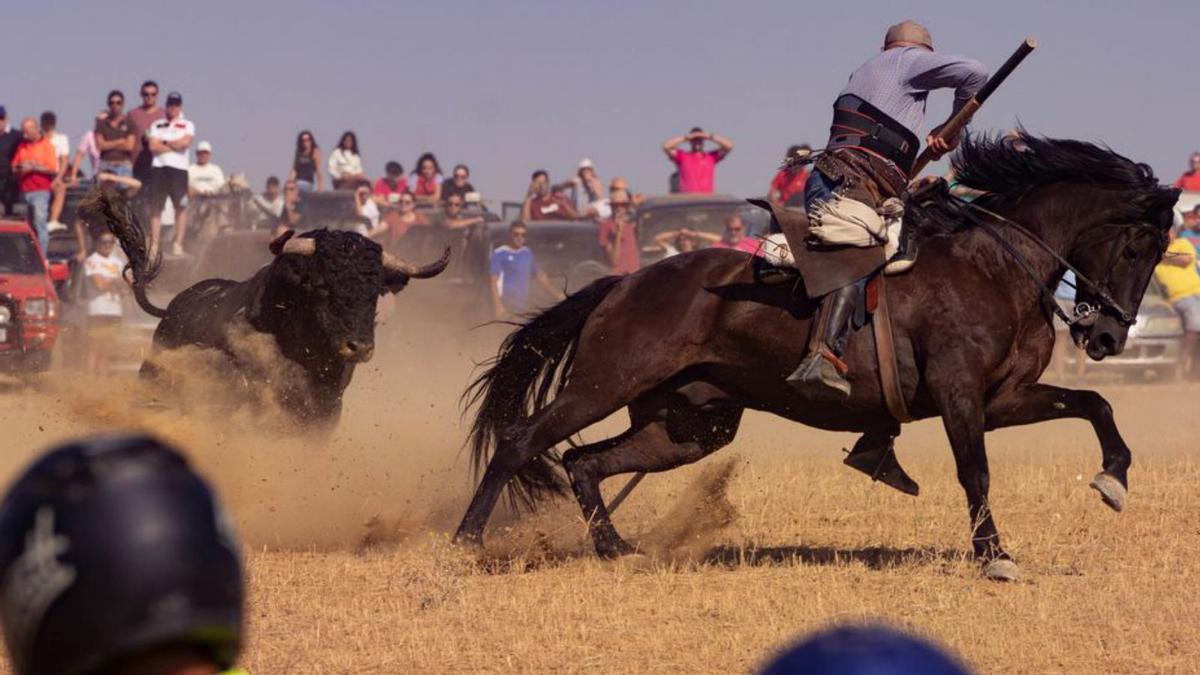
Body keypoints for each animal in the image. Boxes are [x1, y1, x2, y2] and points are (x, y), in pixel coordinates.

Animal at [453, 132, 1176, 578]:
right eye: (1138, 243)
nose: (1108, 337)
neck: (994, 265)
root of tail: (625, 280)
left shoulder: (1004, 399)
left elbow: (1095, 402)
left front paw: (1113, 477)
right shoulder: (960, 396)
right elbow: (976, 472)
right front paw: (994, 554)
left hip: (686, 426)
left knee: (586, 462)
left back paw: (615, 547)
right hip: (602, 384)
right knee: (523, 441)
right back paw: (466, 541)